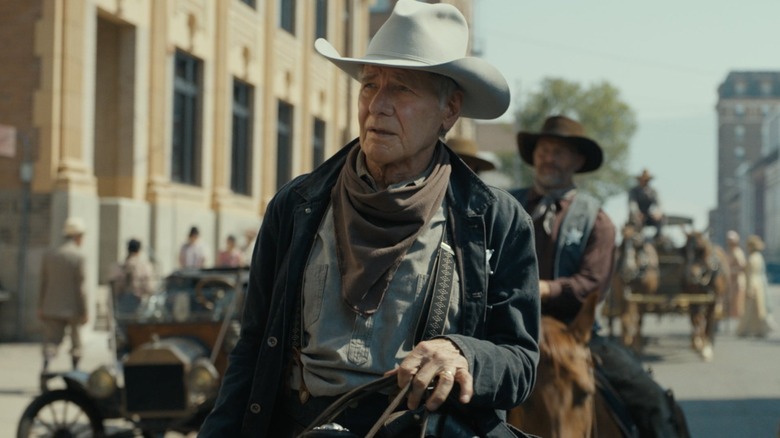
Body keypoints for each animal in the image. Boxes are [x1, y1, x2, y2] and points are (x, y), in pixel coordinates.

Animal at [684, 231, 732, 362]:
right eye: (684, 250)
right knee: (697, 317)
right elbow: (696, 318)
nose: (692, 275)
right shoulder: (694, 299)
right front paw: (697, 342)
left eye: (701, 250)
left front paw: (706, 349)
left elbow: (710, 321)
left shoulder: (713, 300)